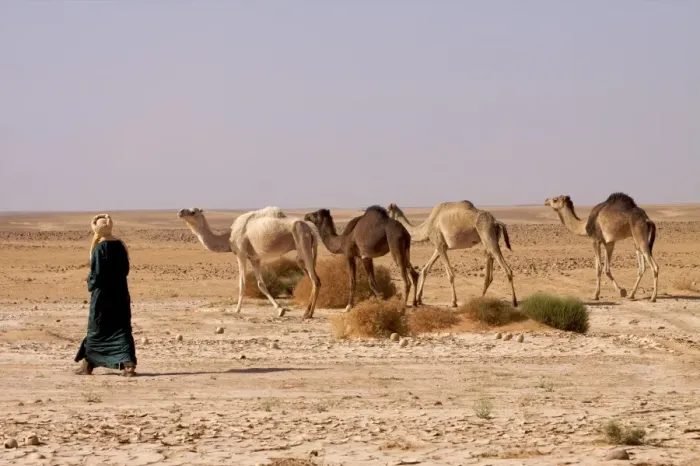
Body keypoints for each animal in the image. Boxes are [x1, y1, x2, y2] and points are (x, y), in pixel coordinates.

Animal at [177, 206, 321, 317]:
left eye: (193, 212)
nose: (180, 211)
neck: (228, 237)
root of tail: (311, 230)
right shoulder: (254, 258)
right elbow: (261, 284)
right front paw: (280, 310)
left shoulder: (240, 253)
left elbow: (242, 283)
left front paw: (237, 310)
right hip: (303, 251)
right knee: (310, 277)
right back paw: (306, 312)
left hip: (303, 241)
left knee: (315, 279)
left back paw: (309, 314)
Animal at [387, 201, 518, 307]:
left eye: (386, 211)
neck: (427, 226)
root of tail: (495, 221)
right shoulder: (441, 246)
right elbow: (425, 269)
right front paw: (419, 299)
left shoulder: (439, 245)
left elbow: (450, 275)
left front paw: (453, 302)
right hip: (490, 239)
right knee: (489, 269)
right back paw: (482, 298)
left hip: (488, 236)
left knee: (507, 270)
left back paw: (514, 301)